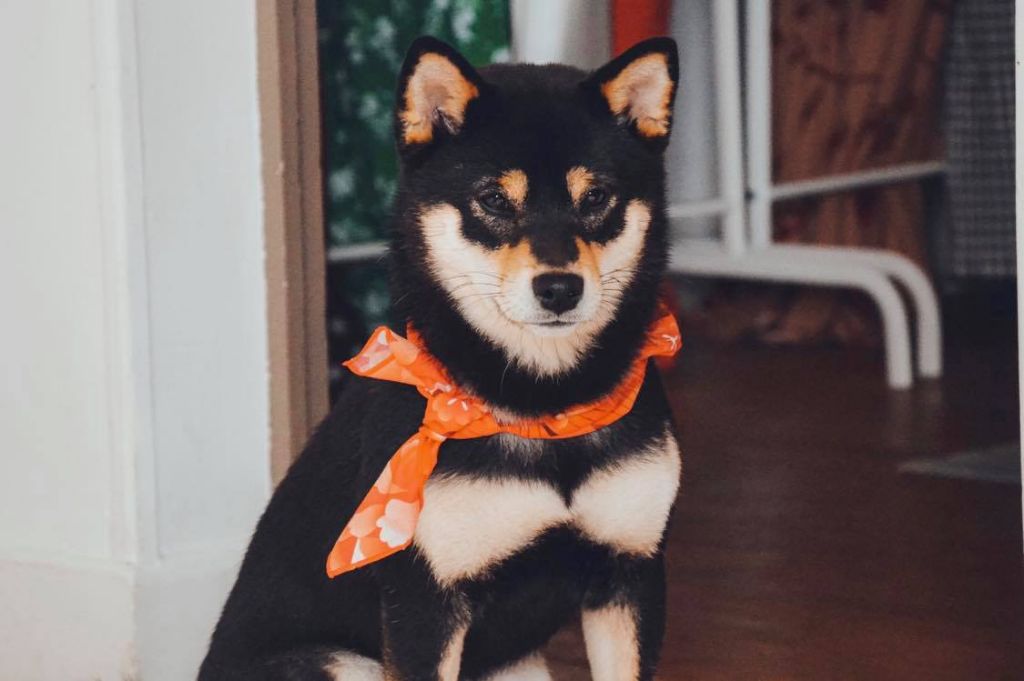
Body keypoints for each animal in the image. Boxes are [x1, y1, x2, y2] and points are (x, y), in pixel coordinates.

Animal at [199, 35, 681, 681]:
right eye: (494, 199)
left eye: (597, 197)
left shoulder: (631, 572)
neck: (543, 409)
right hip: (337, 662)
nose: (560, 288)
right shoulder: (424, 600)